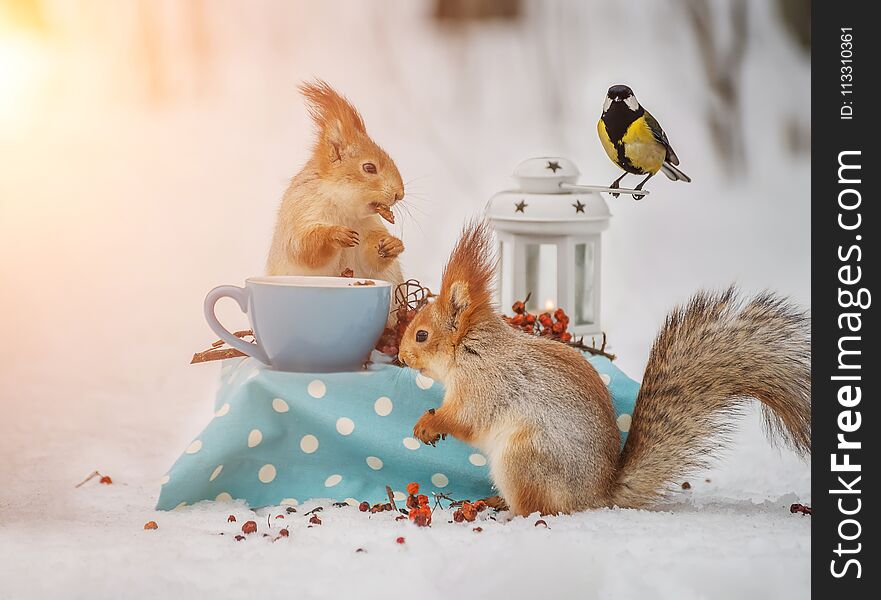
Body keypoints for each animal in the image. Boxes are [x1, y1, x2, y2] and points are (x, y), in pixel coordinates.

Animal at [266, 80, 404, 286]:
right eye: (369, 168)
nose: (399, 194)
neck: (345, 212)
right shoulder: (301, 210)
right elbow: (303, 247)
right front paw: (335, 234)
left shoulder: (369, 227)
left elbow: (370, 257)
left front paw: (392, 244)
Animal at [398, 220, 812, 516]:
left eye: (421, 335)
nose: (401, 357)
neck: (471, 350)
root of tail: (597, 496)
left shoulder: (483, 387)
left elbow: (464, 418)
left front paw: (428, 423)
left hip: (523, 457)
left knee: (538, 509)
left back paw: (507, 511)